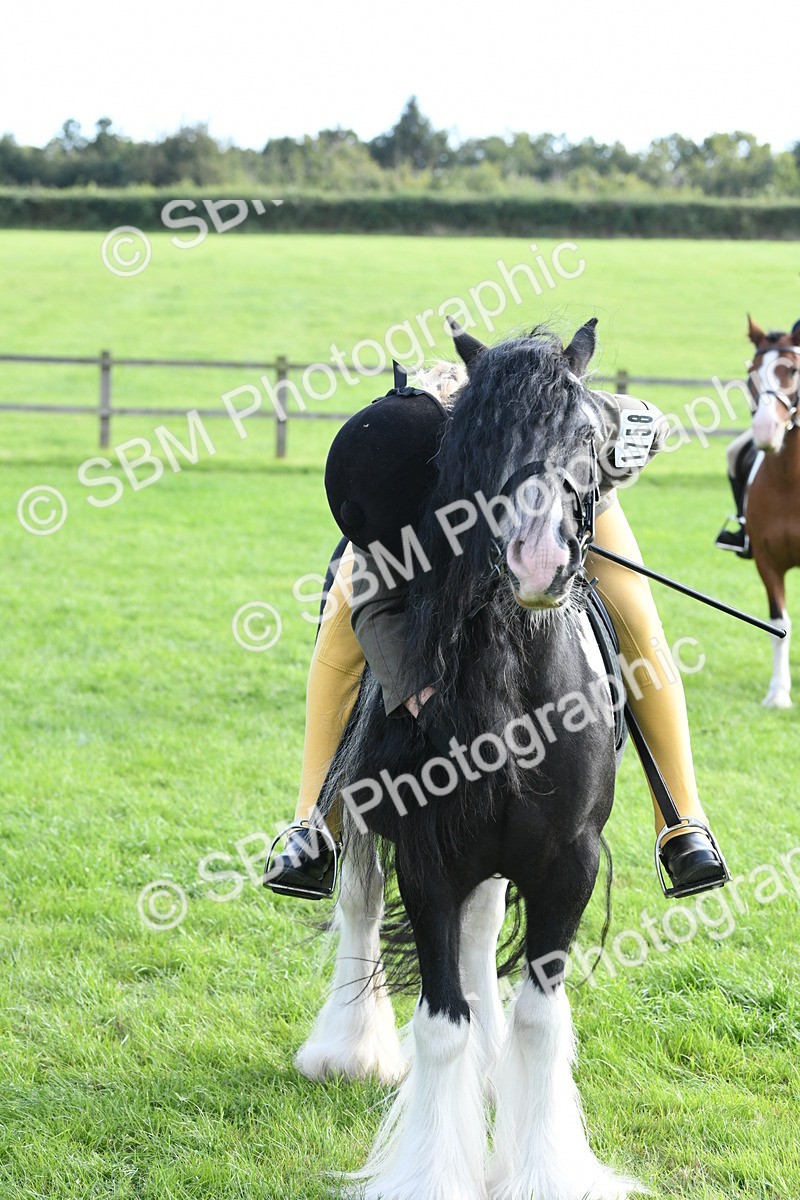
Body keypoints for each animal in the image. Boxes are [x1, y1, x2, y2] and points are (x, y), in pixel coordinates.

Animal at [297, 320, 637, 1200]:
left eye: (587, 433)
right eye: (474, 447)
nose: (538, 560)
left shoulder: (567, 861)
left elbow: (539, 1019)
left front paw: (543, 1171)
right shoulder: (428, 856)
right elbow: (440, 1021)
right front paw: (433, 1172)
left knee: (483, 938)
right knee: (360, 905)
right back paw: (348, 1050)